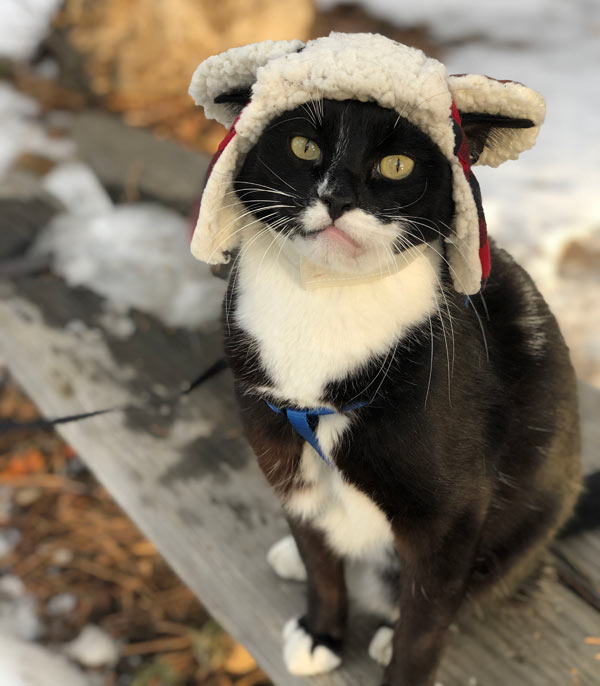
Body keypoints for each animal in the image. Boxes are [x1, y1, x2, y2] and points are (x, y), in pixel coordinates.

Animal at [191, 35, 580, 686]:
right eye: (302, 146)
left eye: (396, 165)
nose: (337, 198)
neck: (323, 305)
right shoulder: (285, 456)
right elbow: (321, 564)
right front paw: (322, 630)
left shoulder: (449, 518)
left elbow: (425, 626)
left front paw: (398, 657)